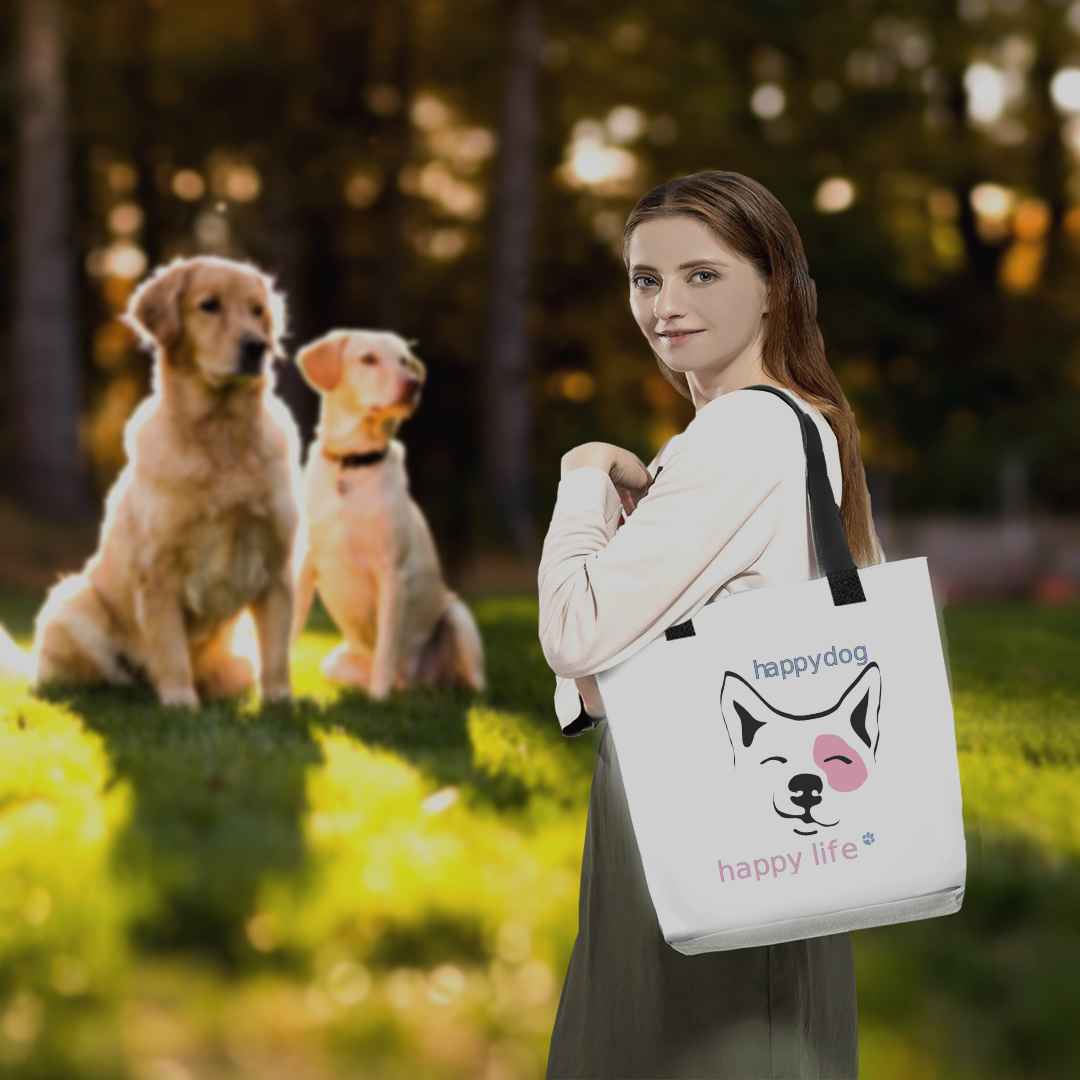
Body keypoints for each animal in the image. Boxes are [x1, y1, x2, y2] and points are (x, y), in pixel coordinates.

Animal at [26, 252, 304, 708]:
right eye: (209, 305)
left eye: (257, 311)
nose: (257, 348)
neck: (221, 434)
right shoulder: (158, 571)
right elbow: (171, 649)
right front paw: (179, 702)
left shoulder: (278, 568)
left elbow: (277, 654)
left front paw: (281, 704)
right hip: (70, 601)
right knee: (102, 678)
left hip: (238, 662)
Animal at [291, 328, 486, 699]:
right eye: (368, 359)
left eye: (405, 361)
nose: (413, 384)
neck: (351, 465)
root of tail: (417, 682)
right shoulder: (304, 565)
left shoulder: (391, 573)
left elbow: (385, 646)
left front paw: (378, 701)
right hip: (333, 663)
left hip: (458, 615)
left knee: (476, 685)